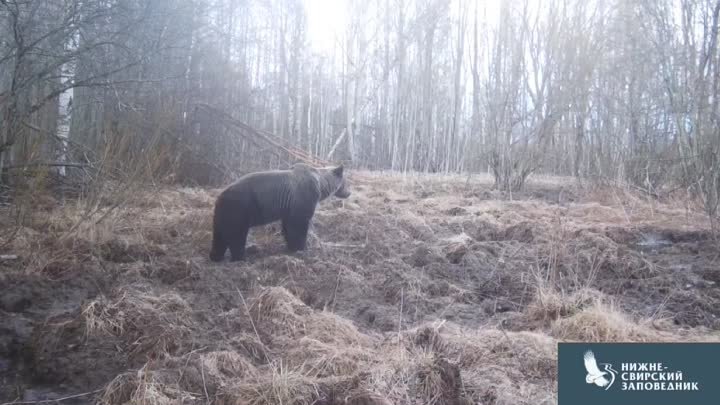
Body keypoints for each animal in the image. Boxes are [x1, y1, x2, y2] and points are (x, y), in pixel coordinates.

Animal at [208, 162, 352, 262]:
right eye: (346, 182)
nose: (349, 193)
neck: (321, 185)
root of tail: (219, 197)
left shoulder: (289, 207)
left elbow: (288, 226)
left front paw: (290, 246)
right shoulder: (304, 197)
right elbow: (299, 224)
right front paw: (300, 247)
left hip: (222, 215)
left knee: (219, 236)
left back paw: (215, 256)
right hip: (239, 210)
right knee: (236, 236)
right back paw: (241, 257)